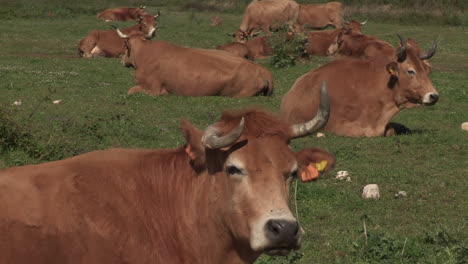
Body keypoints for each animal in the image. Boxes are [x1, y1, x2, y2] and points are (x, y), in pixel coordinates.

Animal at [117, 29, 276, 97]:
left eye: (125, 46)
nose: (122, 60)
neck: (145, 54)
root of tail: (261, 69)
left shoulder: (153, 89)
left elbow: (130, 90)